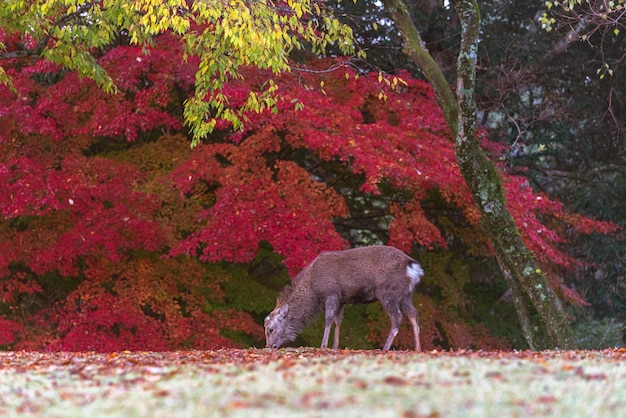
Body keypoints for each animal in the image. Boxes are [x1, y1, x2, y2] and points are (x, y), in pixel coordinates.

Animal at [260, 247, 422, 352]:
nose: (269, 346)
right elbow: (338, 321)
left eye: (271, 329)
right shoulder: (342, 300)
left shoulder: (331, 293)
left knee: (397, 317)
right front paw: (335, 347)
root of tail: (412, 266)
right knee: (413, 314)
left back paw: (385, 348)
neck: (313, 290)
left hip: (388, 291)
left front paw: (323, 346)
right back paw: (418, 348)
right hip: (406, 294)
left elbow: (328, 319)